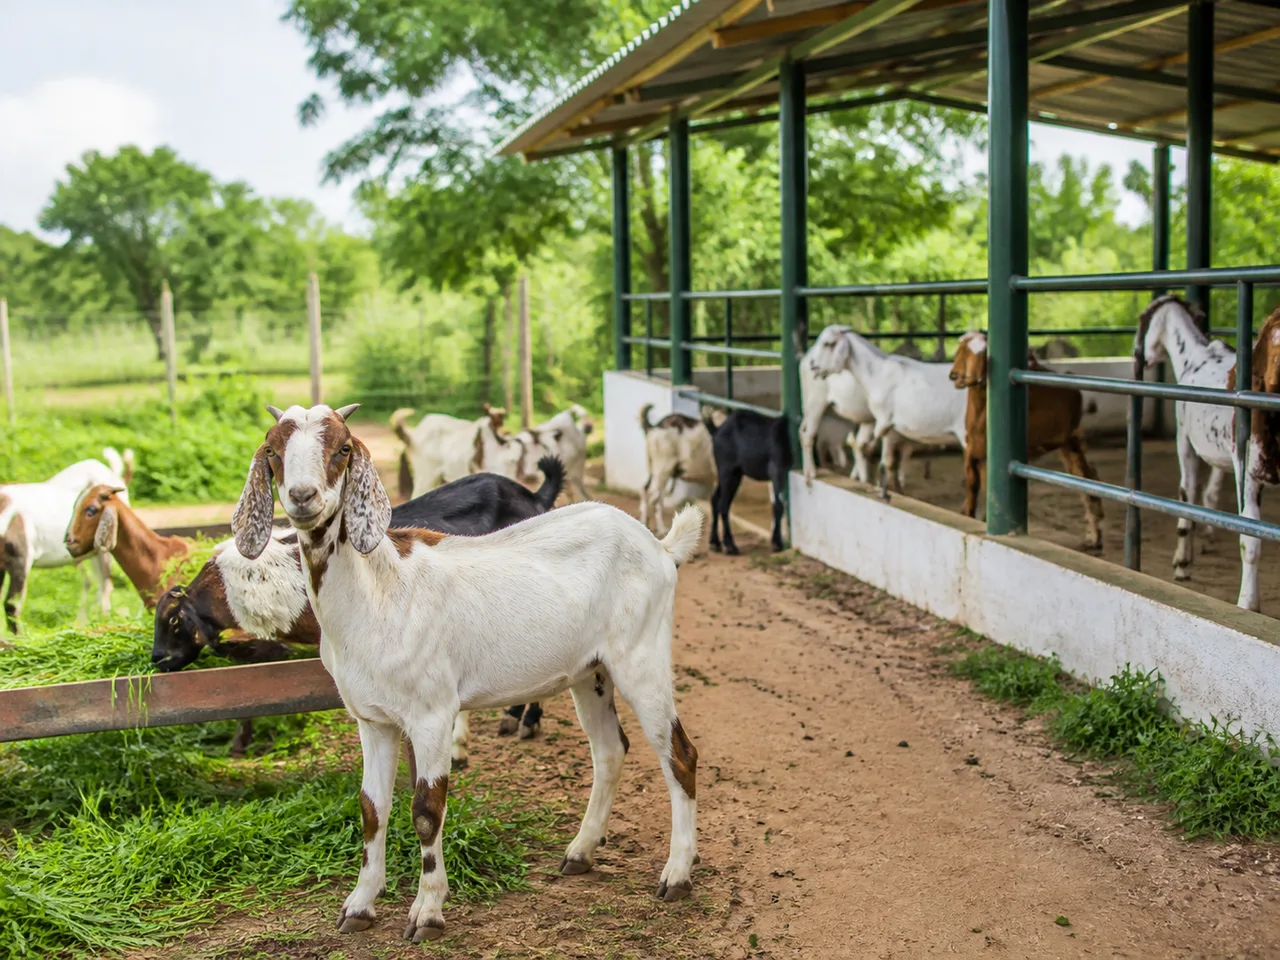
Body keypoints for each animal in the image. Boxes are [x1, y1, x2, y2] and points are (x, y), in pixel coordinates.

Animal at [638, 403, 717, 536]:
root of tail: (654, 428)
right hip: (663, 468)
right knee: (653, 494)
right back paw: (659, 528)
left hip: (654, 469)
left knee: (647, 490)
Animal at [704, 409, 791, 554]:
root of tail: (716, 430)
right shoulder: (777, 469)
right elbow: (778, 505)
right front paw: (777, 543)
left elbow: (777, 503)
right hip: (728, 471)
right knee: (723, 504)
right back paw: (730, 545)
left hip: (732, 473)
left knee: (715, 499)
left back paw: (714, 543)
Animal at [808, 325, 966, 499]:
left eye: (828, 343)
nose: (812, 364)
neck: (877, 372)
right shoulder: (889, 426)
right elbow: (882, 457)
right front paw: (885, 488)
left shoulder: (885, 419)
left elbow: (874, 453)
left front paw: (884, 488)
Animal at [949, 331, 1104, 549]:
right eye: (964, 350)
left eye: (985, 352)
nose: (973, 377)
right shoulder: (973, 451)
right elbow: (973, 488)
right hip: (1069, 443)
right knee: (1085, 478)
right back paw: (1094, 536)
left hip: (1069, 439)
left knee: (1086, 479)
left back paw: (1095, 534)